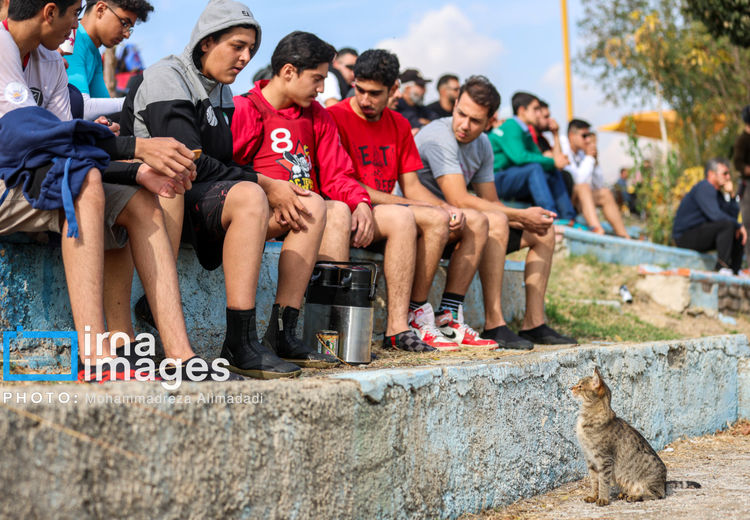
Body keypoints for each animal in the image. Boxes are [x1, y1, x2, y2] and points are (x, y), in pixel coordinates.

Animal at [572, 364, 704, 506]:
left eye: (580, 386)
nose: (571, 388)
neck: (585, 418)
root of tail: (663, 483)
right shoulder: (590, 459)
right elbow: (594, 482)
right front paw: (593, 496)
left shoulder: (604, 460)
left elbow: (603, 482)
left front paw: (603, 499)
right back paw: (624, 493)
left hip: (651, 482)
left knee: (658, 494)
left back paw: (635, 497)